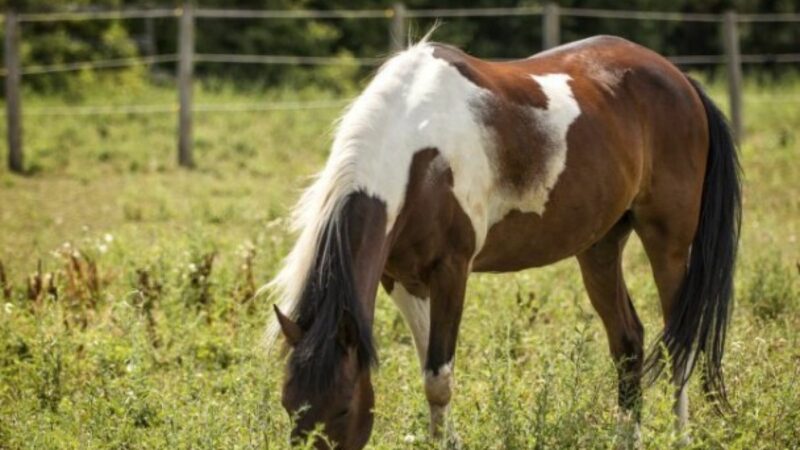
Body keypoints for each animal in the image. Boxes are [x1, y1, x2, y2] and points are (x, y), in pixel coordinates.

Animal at [266, 36, 740, 450]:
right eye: (289, 408)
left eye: (343, 410)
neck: (419, 156)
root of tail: (680, 80)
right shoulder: (400, 279)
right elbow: (426, 368)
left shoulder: (451, 272)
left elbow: (438, 380)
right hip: (600, 246)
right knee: (628, 342)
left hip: (668, 242)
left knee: (681, 343)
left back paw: (681, 437)